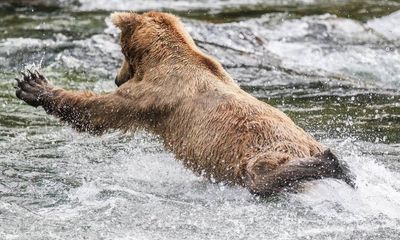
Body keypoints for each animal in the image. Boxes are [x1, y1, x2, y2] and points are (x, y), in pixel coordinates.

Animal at [14, 11, 354, 196]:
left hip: (265, 147)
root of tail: (308, 144)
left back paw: (334, 164)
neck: (162, 57)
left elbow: (100, 112)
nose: (117, 78)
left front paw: (33, 85)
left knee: (259, 174)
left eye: (122, 53)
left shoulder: (156, 93)